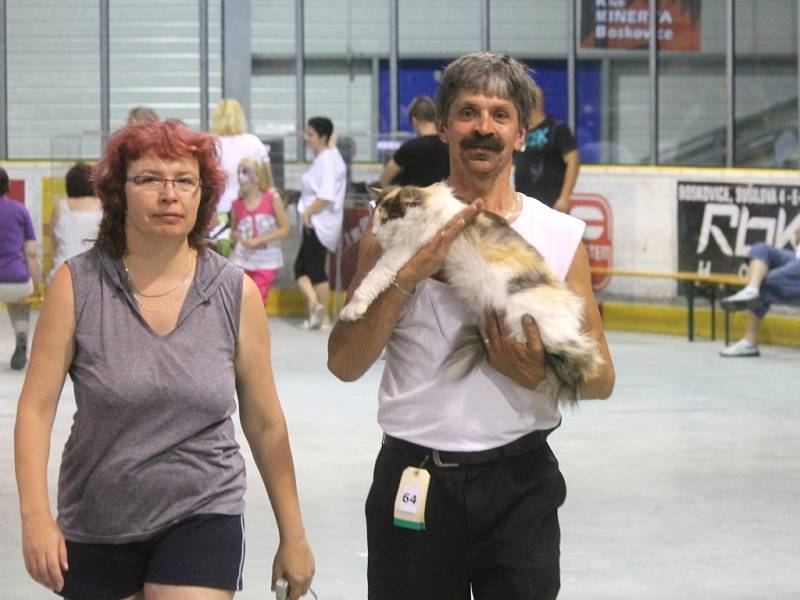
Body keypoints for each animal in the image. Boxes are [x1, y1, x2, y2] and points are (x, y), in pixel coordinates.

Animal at [340, 183, 608, 404]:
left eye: (385, 220)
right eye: (374, 220)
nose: (375, 234)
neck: (430, 208)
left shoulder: (404, 250)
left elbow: (373, 278)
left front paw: (352, 309)